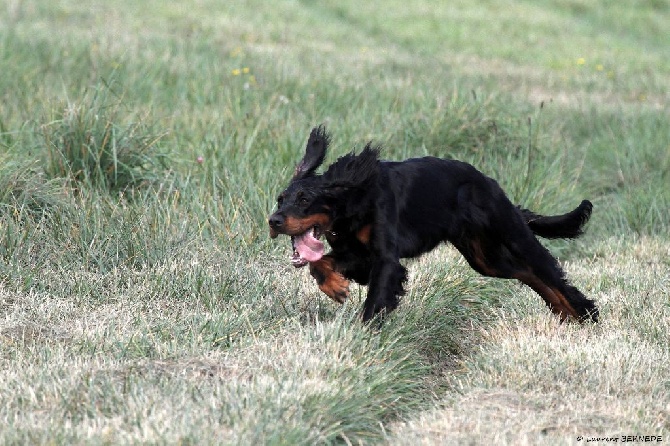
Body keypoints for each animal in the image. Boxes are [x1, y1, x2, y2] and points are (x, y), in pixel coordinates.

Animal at [268, 125, 600, 324]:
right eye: (280, 199)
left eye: (305, 199)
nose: (274, 221)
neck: (353, 199)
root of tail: (490, 183)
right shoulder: (358, 256)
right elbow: (320, 262)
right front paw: (335, 287)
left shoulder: (385, 260)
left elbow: (374, 302)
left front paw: (364, 337)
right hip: (486, 258)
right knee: (528, 274)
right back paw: (566, 315)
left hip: (513, 235)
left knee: (548, 272)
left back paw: (585, 315)